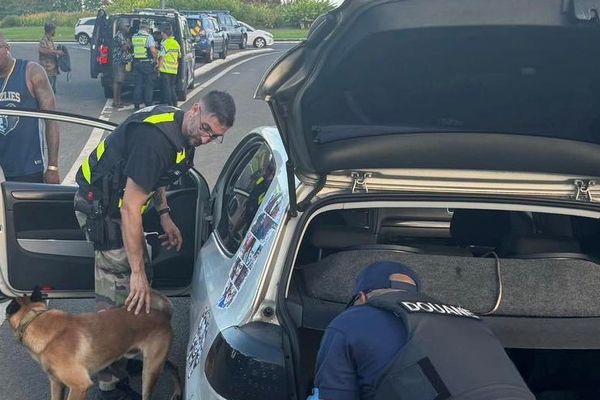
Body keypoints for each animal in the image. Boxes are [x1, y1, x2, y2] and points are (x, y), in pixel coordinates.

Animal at [5, 286, 180, 398]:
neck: (35, 319)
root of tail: (164, 314)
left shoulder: (79, 386)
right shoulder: (56, 383)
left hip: (149, 371)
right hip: (140, 361)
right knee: (172, 366)